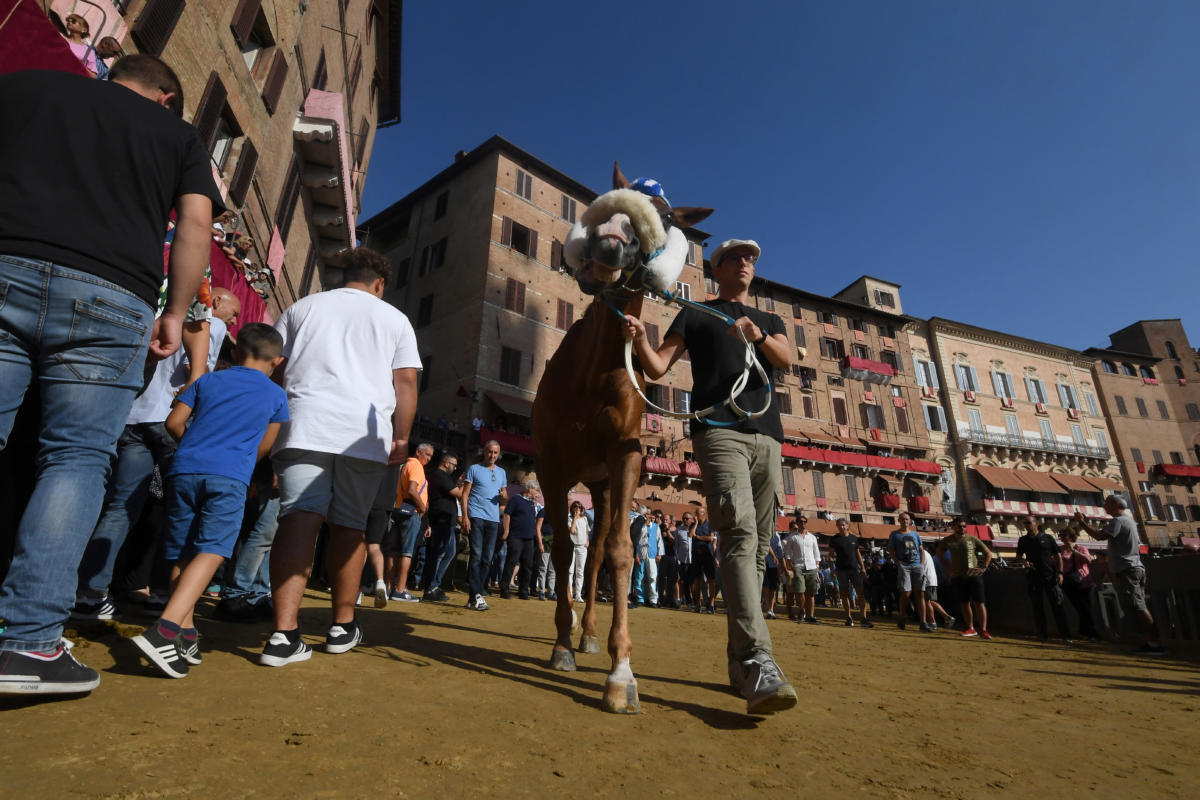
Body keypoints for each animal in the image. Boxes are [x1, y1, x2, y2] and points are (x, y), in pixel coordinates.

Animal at [530, 165, 705, 714]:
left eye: (666, 218)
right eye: (605, 201)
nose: (608, 240)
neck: (591, 377)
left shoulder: (626, 459)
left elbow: (620, 553)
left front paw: (620, 672)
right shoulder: (551, 466)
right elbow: (562, 550)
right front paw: (562, 645)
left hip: (603, 487)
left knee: (598, 556)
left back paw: (590, 634)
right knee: (580, 557)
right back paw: (575, 636)